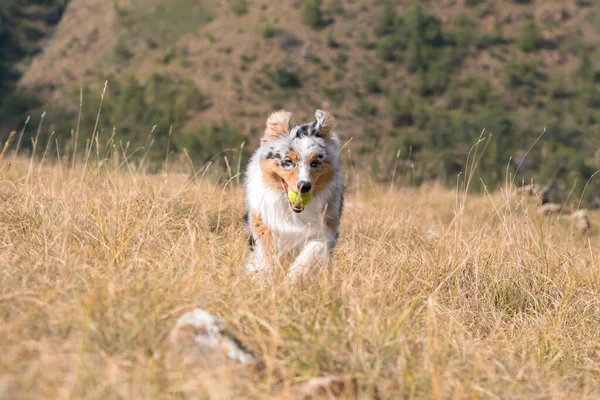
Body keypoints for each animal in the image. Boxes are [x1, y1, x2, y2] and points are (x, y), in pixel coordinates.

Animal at [244, 109, 344, 282]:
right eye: (288, 161)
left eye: (314, 163)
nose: (304, 186)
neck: (292, 211)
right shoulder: (264, 225)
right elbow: (267, 257)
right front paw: (264, 280)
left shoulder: (325, 232)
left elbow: (309, 255)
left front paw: (292, 279)